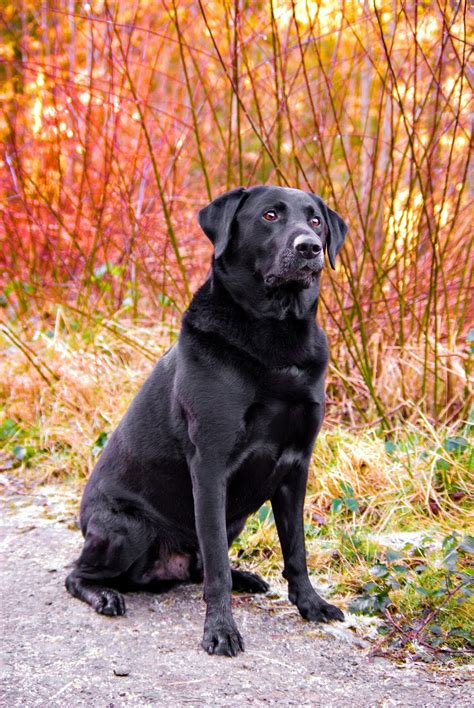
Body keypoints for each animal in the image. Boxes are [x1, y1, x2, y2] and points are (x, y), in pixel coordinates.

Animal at [65, 185, 348, 656]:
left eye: (315, 221)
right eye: (270, 215)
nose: (309, 248)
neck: (275, 333)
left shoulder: (296, 466)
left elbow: (296, 550)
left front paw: (311, 605)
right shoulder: (211, 466)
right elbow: (216, 566)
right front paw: (220, 630)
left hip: (235, 519)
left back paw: (245, 577)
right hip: (127, 528)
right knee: (76, 573)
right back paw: (104, 595)